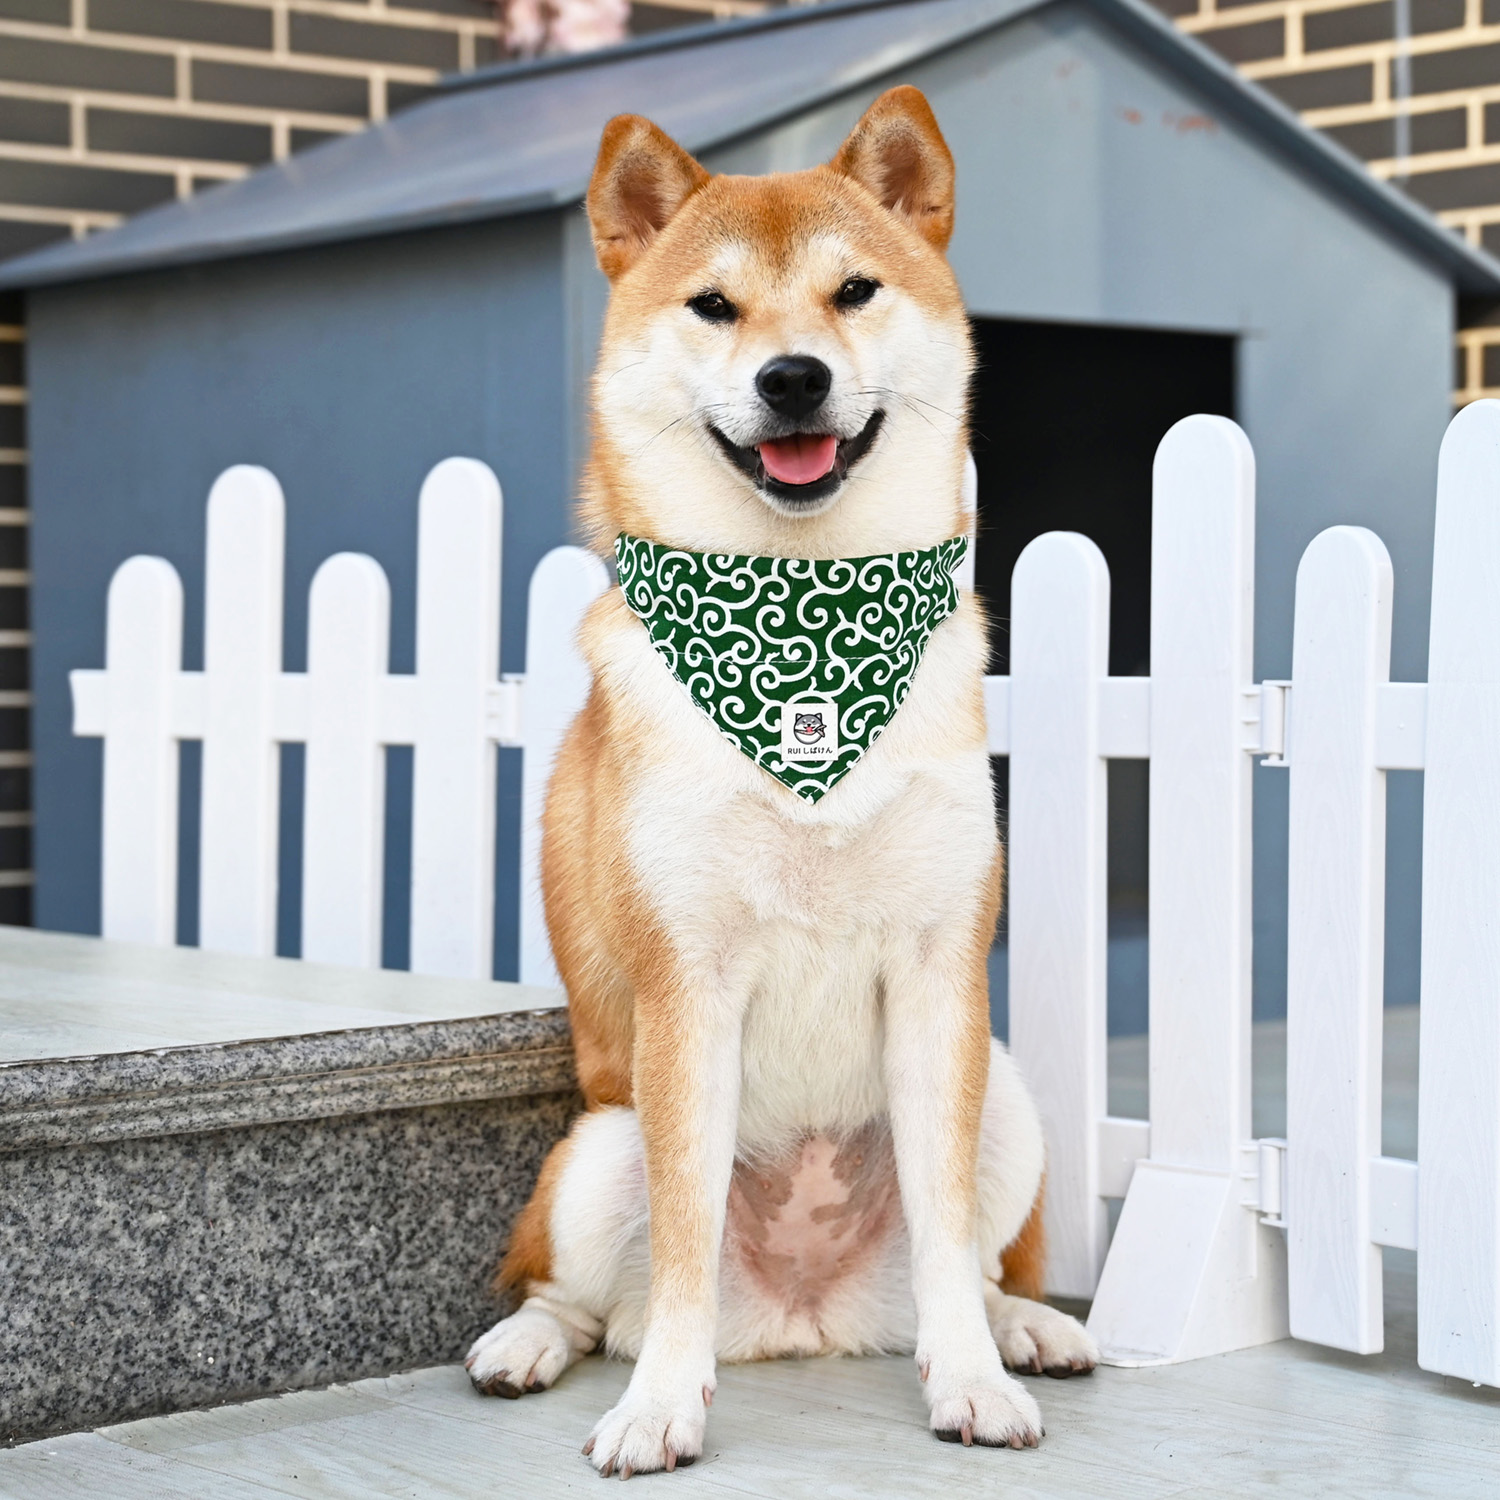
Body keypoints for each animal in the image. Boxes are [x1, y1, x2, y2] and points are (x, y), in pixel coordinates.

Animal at [462, 85, 1098, 1476]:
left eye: (853, 291)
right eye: (714, 307)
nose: (792, 375)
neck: (803, 643)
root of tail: (803, 1322)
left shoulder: (939, 976)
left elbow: (951, 1239)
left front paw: (974, 1385)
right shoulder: (686, 990)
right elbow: (685, 1240)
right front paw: (660, 1407)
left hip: (1009, 1101)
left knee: (977, 1265)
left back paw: (1025, 1327)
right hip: (596, 1149)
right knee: (579, 1298)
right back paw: (530, 1348)